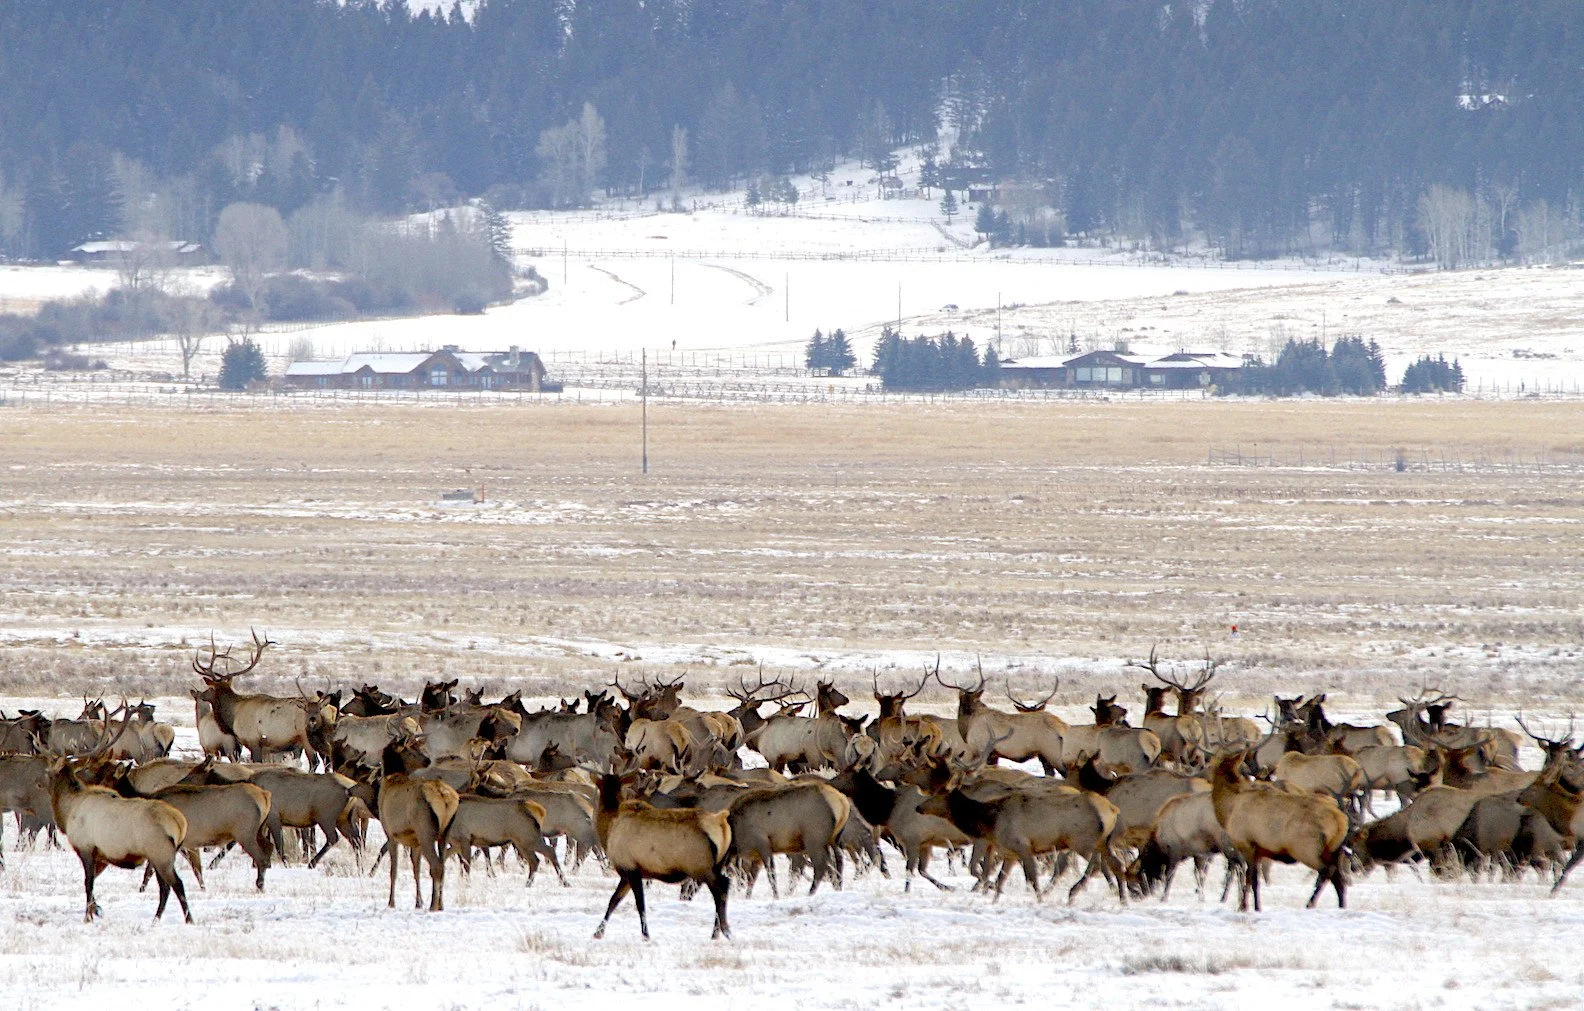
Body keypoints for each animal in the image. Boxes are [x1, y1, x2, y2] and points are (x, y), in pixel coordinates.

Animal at [45, 704, 194, 923]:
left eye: (47, 772)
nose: (39, 783)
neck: (68, 807)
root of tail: (180, 823)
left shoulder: (86, 847)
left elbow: (87, 883)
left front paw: (89, 916)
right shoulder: (102, 856)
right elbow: (92, 883)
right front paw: (97, 910)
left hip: (160, 853)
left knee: (176, 885)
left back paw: (184, 919)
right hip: (162, 856)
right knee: (166, 886)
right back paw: (157, 919)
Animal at [592, 771, 734, 941]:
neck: (609, 828)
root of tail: (721, 820)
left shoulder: (630, 869)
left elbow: (639, 904)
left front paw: (646, 935)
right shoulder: (629, 873)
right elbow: (613, 901)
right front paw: (598, 932)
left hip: (701, 866)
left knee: (721, 888)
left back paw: (721, 932)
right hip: (718, 864)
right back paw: (720, 932)